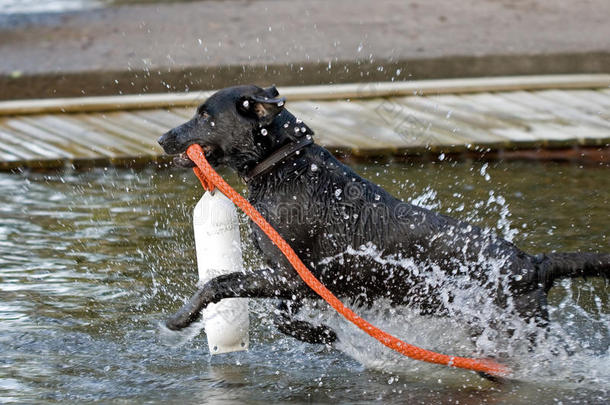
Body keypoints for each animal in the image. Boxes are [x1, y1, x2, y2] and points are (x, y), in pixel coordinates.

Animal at [158, 83, 608, 346]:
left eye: (204, 115)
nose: (162, 138)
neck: (287, 166)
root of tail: (533, 264)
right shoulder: (298, 284)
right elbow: (279, 312)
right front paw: (318, 332)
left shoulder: (295, 276)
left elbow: (220, 284)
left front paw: (180, 318)